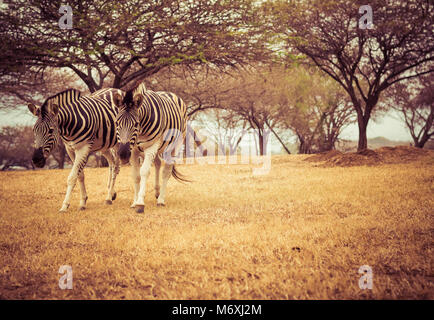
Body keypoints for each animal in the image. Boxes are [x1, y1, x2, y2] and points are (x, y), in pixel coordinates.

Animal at [112, 82, 188, 212]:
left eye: (136, 124)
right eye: (117, 123)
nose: (123, 154)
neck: (141, 130)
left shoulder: (152, 146)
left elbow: (144, 172)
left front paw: (140, 203)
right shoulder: (134, 150)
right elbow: (136, 176)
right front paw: (134, 201)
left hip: (174, 146)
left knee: (166, 172)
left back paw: (161, 200)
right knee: (157, 163)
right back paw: (157, 192)